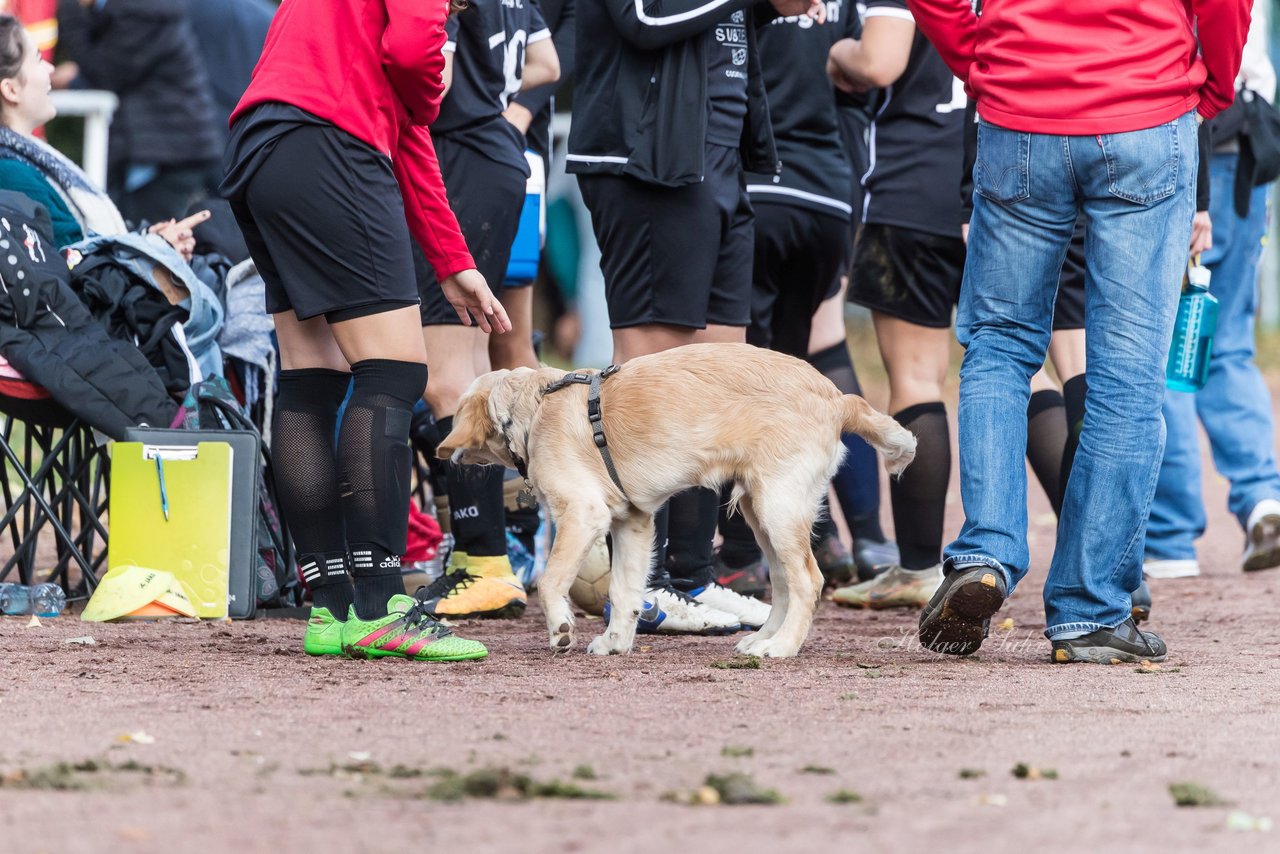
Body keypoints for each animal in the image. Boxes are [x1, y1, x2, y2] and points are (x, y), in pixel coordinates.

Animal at [435, 343, 916, 660]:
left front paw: (562, 630)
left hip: (778, 508)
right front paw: (615, 642)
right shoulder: (632, 522)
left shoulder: (583, 514)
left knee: (809, 582)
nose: (445, 460)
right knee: (783, 583)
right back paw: (761, 639)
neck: (534, 406)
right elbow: (624, 590)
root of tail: (838, 398)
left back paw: (782, 647)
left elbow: (553, 581)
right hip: (762, 514)